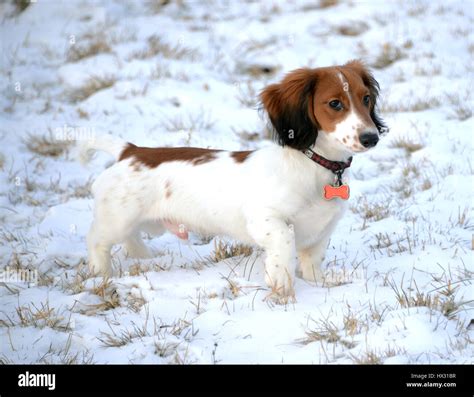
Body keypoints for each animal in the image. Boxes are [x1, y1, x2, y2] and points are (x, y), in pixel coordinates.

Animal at [79, 59, 386, 300]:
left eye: (366, 98)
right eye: (335, 103)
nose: (371, 138)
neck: (314, 164)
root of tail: (130, 151)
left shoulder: (321, 230)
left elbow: (313, 262)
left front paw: (319, 282)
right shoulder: (264, 218)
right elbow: (285, 242)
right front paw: (281, 286)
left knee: (131, 239)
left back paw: (144, 258)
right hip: (118, 218)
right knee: (96, 240)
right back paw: (101, 274)